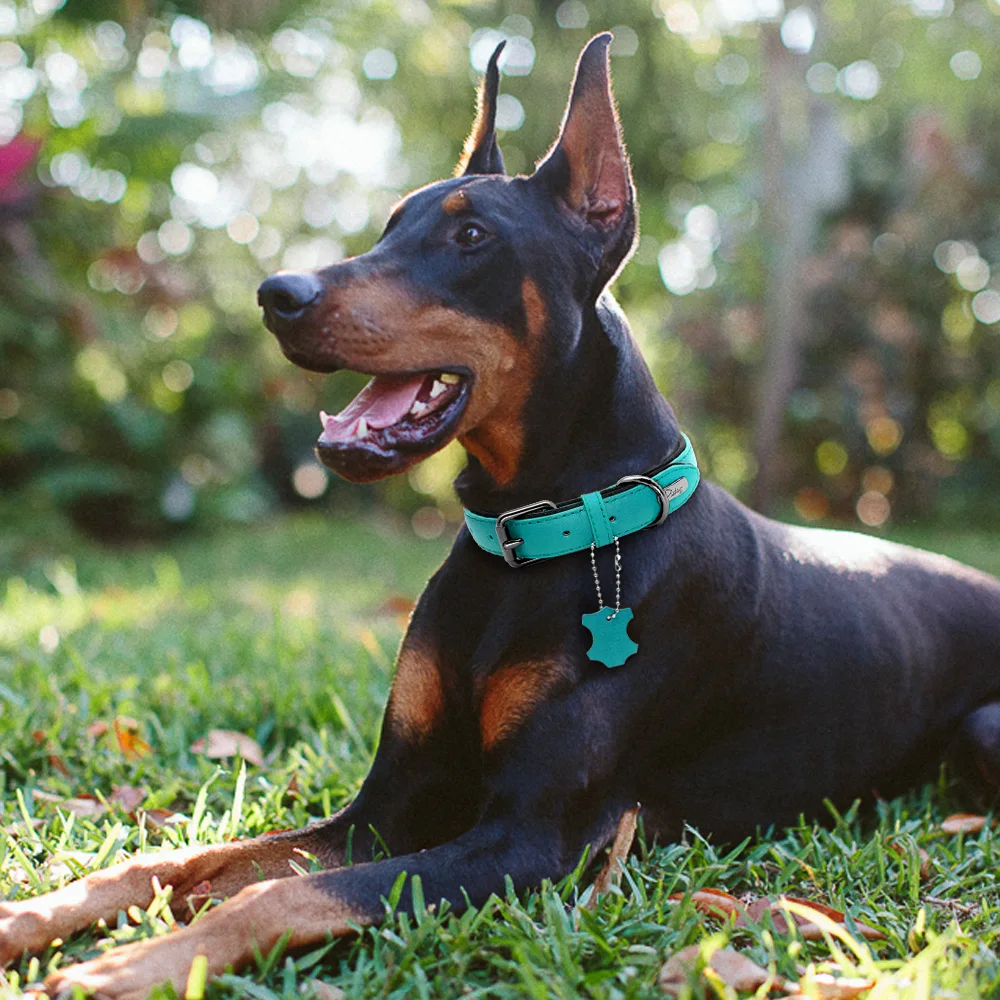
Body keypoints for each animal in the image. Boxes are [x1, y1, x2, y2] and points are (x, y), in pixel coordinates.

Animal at [5, 33, 1000, 1000]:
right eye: (389, 225)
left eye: (472, 235)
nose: (277, 295)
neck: (538, 537)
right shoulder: (392, 800)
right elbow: (180, 861)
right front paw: (39, 915)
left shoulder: (530, 838)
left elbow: (278, 895)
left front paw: (130, 965)